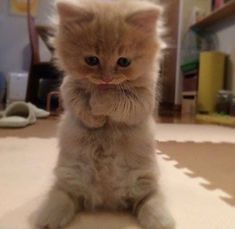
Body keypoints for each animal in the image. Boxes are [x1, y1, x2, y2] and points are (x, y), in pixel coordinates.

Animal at [35, 0, 174, 229]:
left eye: (124, 62)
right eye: (92, 60)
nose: (106, 78)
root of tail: (107, 199)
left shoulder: (142, 100)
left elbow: (115, 101)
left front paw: (100, 102)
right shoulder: (68, 89)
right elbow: (81, 105)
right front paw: (96, 116)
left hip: (144, 182)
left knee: (151, 200)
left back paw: (161, 222)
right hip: (69, 177)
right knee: (63, 196)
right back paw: (47, 219)